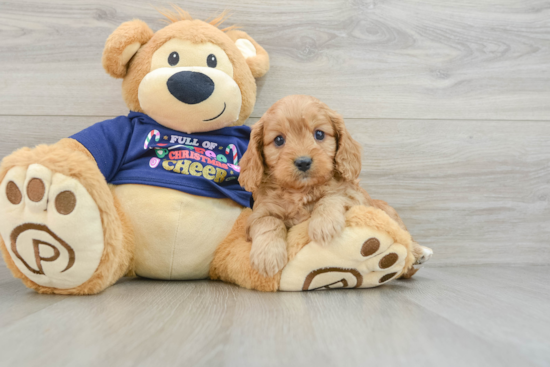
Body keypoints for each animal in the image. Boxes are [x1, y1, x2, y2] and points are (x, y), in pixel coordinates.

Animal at [239, 95, 430, 276]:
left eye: (319, 134)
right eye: (279, 139)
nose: (303, 162)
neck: (302, 191)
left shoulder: (354, 196)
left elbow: (333, 196)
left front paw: (323, 224)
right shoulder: (259, 213)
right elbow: (269, 221)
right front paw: (267, 256)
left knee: (404, 235)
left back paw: (419, 252)